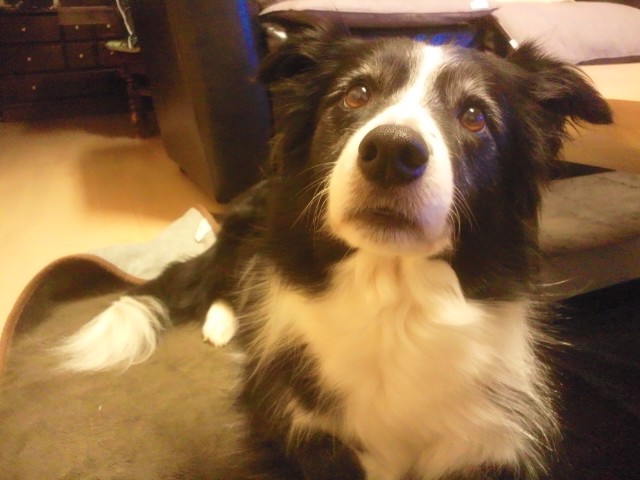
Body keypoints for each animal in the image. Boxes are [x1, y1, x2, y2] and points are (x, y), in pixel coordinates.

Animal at [56, 23, 612, 480]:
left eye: (474, 116)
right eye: (355, 95)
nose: (392, 152)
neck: (393, 301)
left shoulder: (484, 441)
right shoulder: (295, 432)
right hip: (251, 222)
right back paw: (226, 325)